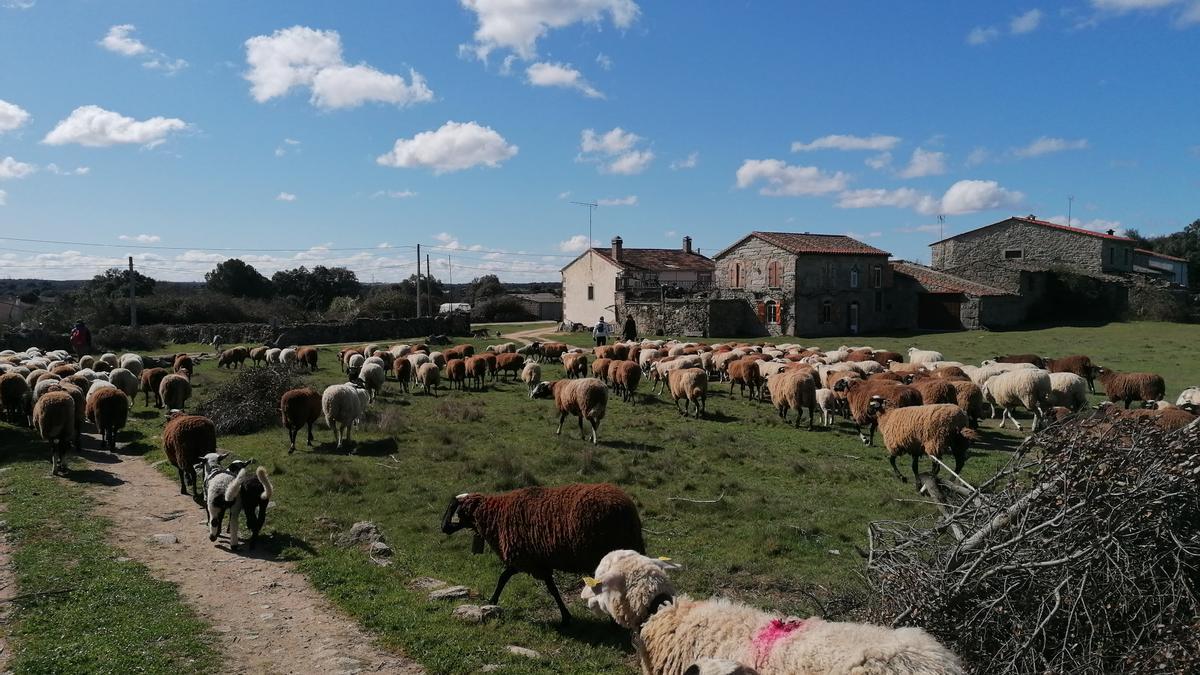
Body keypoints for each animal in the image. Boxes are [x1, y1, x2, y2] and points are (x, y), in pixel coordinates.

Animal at [444, 480, 648, 624]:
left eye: (455, 510)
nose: (443, 528)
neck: (496, 516)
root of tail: (629, 510)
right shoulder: (537, 561)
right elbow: (549, 587)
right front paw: (566, 616)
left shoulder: (525, 559)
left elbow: (505, 577)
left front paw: (491, 601)